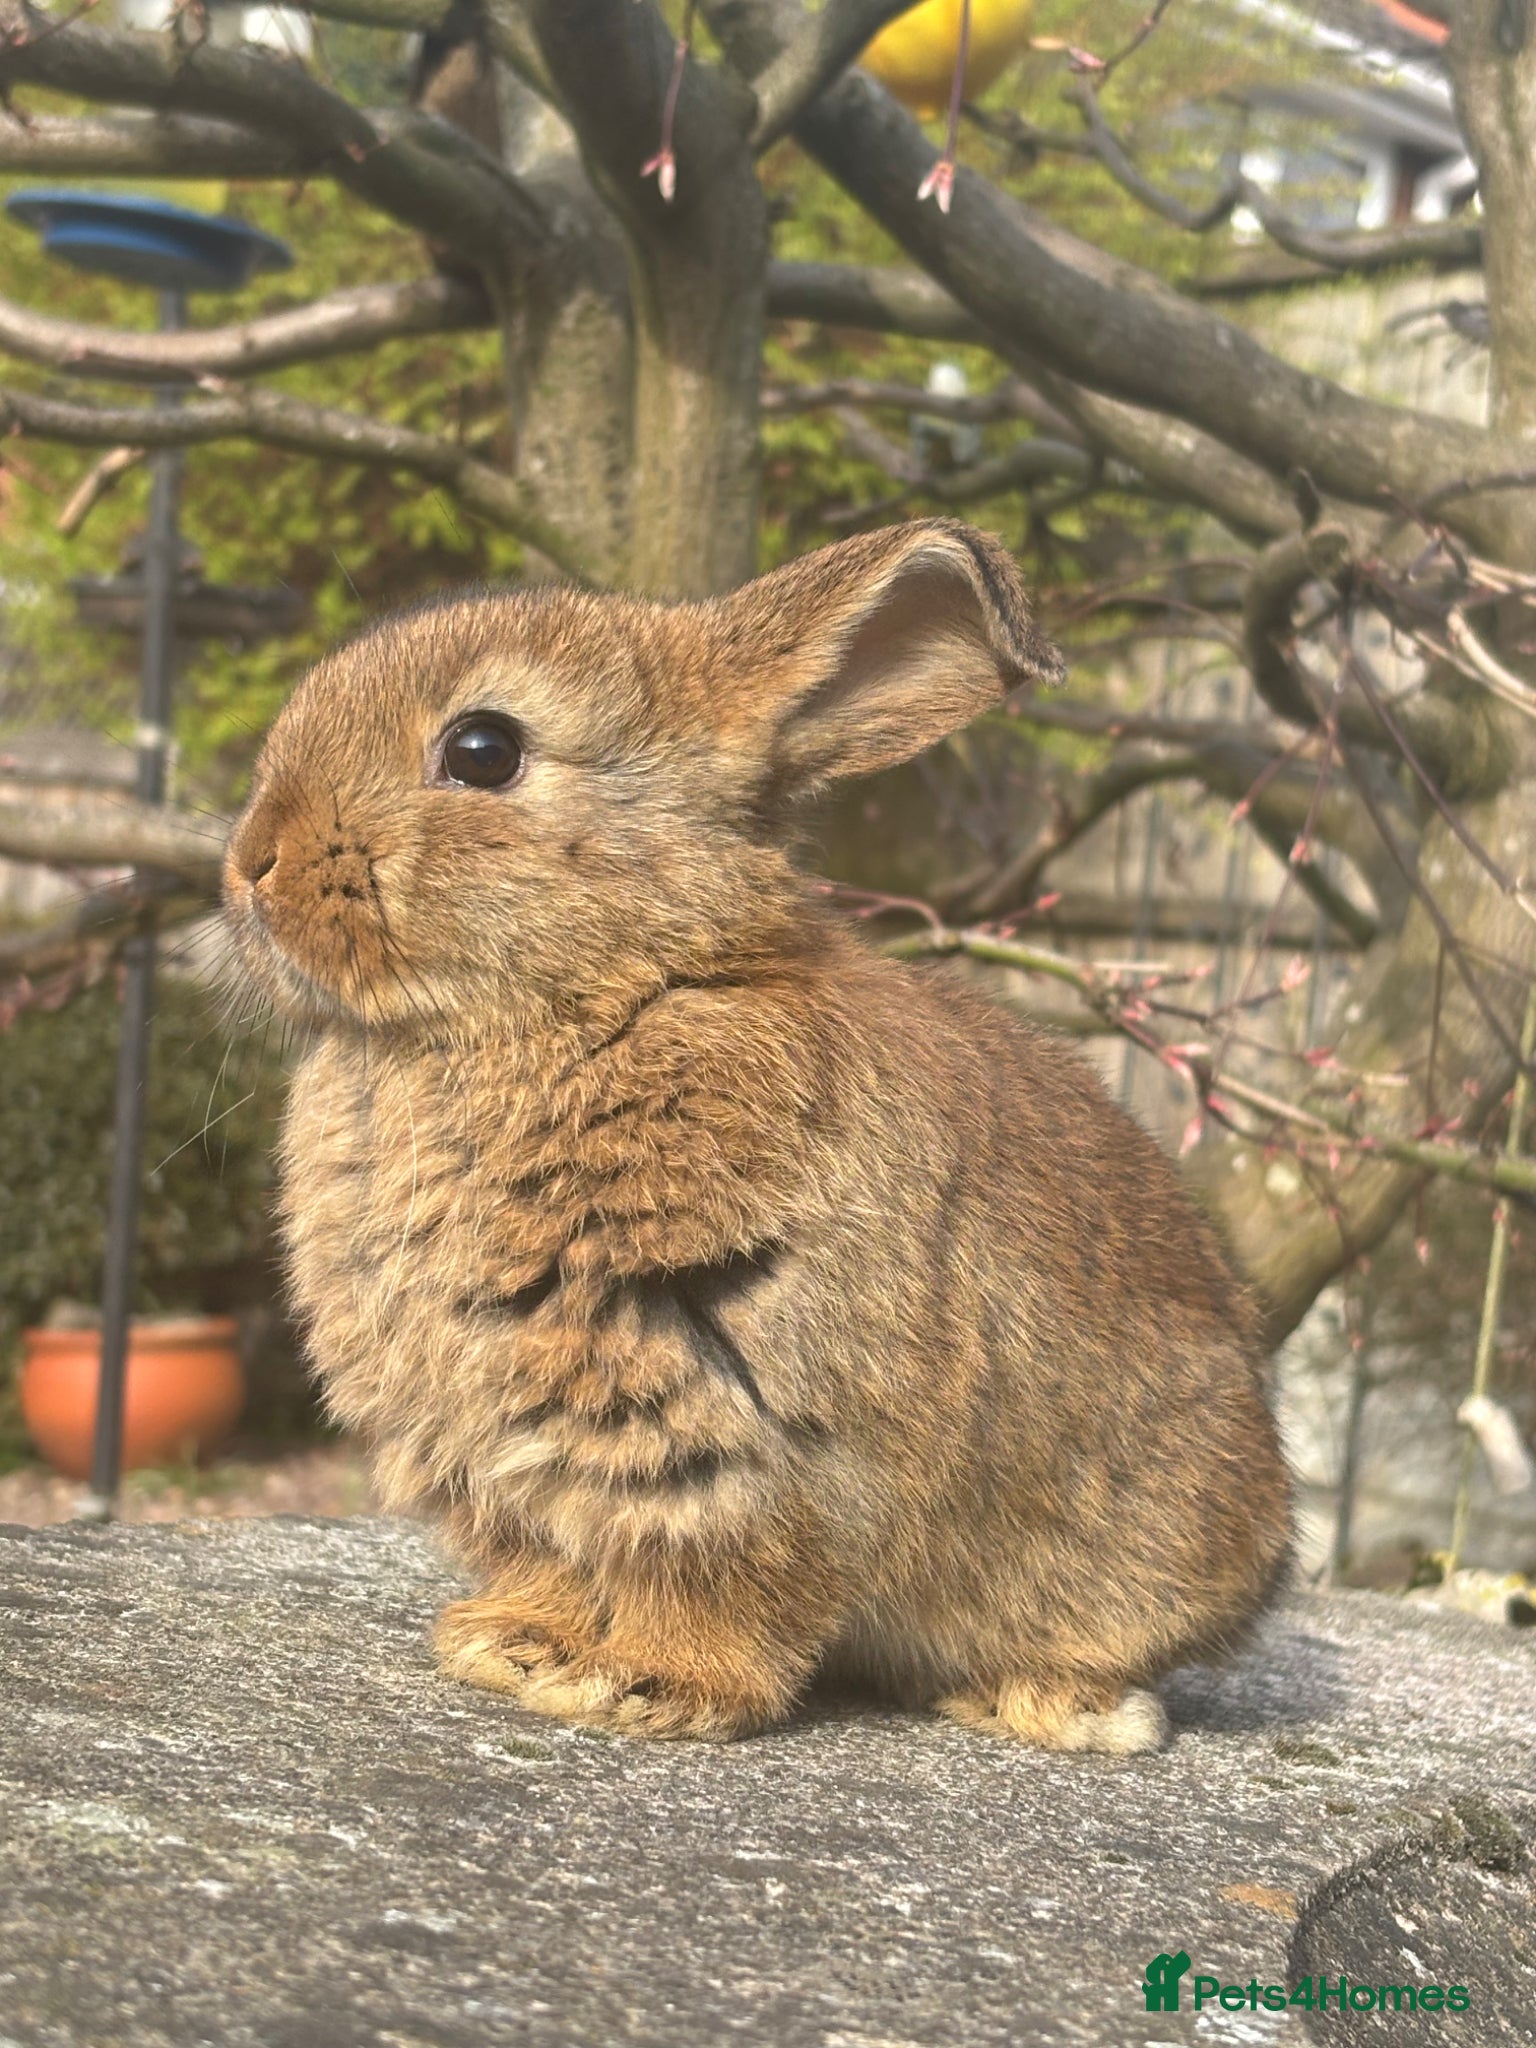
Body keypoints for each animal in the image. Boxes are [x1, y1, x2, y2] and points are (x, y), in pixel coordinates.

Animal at [224, 518, 1291, 1752]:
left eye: (483, 749)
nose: (250, 861)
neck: (609, 989)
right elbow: (554, 1559)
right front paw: (512, 1644)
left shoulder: (732, 1432)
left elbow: (723, 1584)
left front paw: (640, 1684)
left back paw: (1049, 1702)